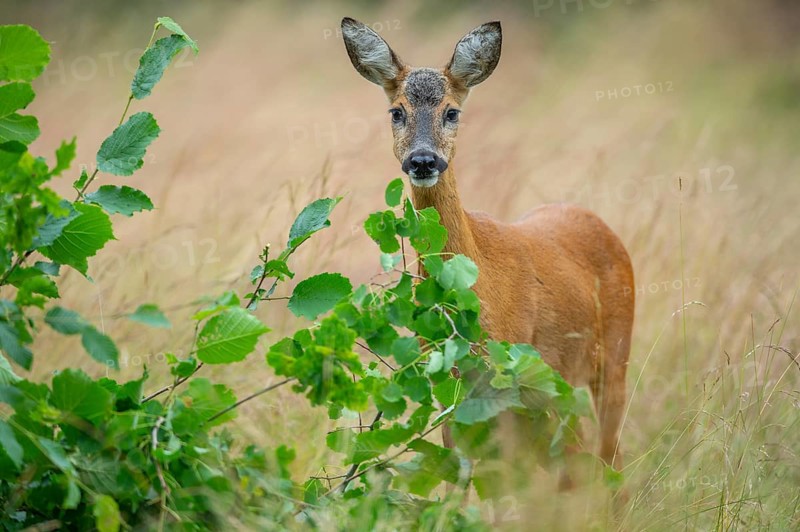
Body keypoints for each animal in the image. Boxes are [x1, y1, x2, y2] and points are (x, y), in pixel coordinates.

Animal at [341, 17, 635, 474]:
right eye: (396, 111)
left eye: (452, 111)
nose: (423, 161)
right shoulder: (451, 388)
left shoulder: (511, 379)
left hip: (612, 361)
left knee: (606, 456)